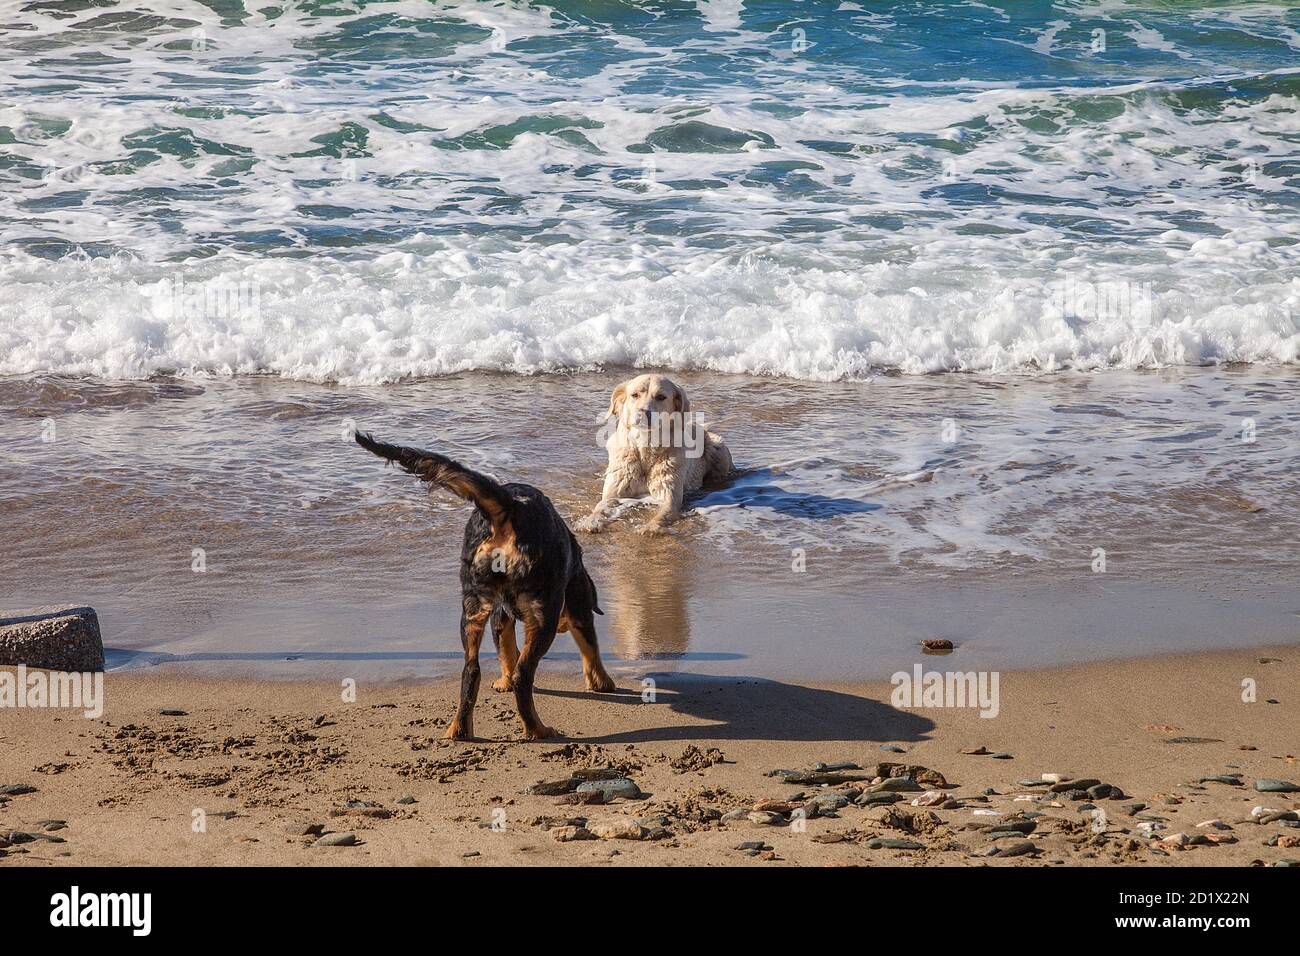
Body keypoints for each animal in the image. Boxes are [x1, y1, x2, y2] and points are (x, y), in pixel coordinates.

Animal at [353, 434, 616, 738]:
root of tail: (509, 506)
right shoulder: (577, 604)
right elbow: (590, 646)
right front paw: (602, 682)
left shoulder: (499, 615)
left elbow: (506, 650)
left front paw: (503, 681)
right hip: (544, 613)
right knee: (524, 674)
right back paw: (537, 729)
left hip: (472, 608)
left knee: (471, 671)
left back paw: (459, 729)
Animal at [577, 374, 733, 535]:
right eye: (634, 395)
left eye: (661, 397)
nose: (642, 413)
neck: (645, 445)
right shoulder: (613, 492)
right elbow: (600, 506)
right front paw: (590, 521)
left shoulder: (669, 497)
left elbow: (662, 514)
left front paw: (650, 527)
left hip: (718, 448)